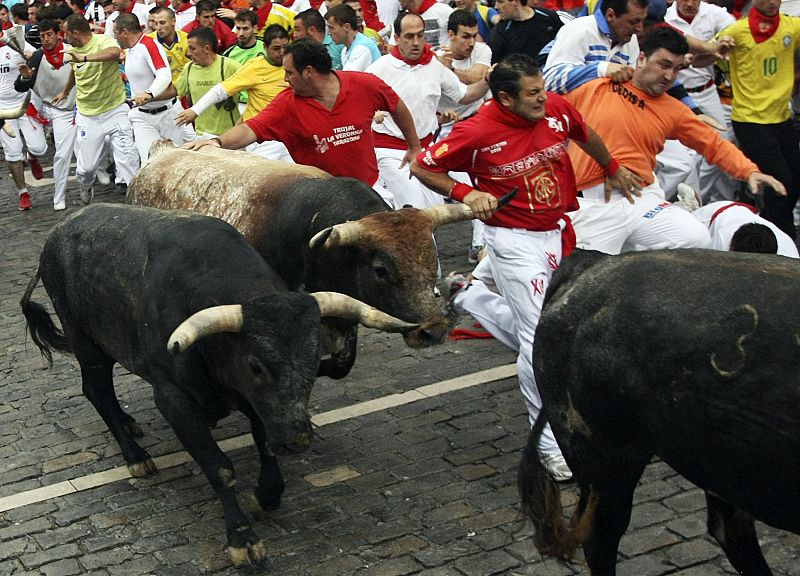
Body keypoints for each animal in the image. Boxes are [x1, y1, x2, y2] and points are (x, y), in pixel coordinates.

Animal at [21, 204, 416, 568]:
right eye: (256, 365)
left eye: (314, 356)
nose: (296, 439)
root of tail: (60, 230)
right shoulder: (175, 400)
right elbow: (219, 467)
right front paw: (242, 539)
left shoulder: (255, 402)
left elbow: (264, 446)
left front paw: (266, 495)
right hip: (86, 342)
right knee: (97, 391)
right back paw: (136, 457)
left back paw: (130, 425)